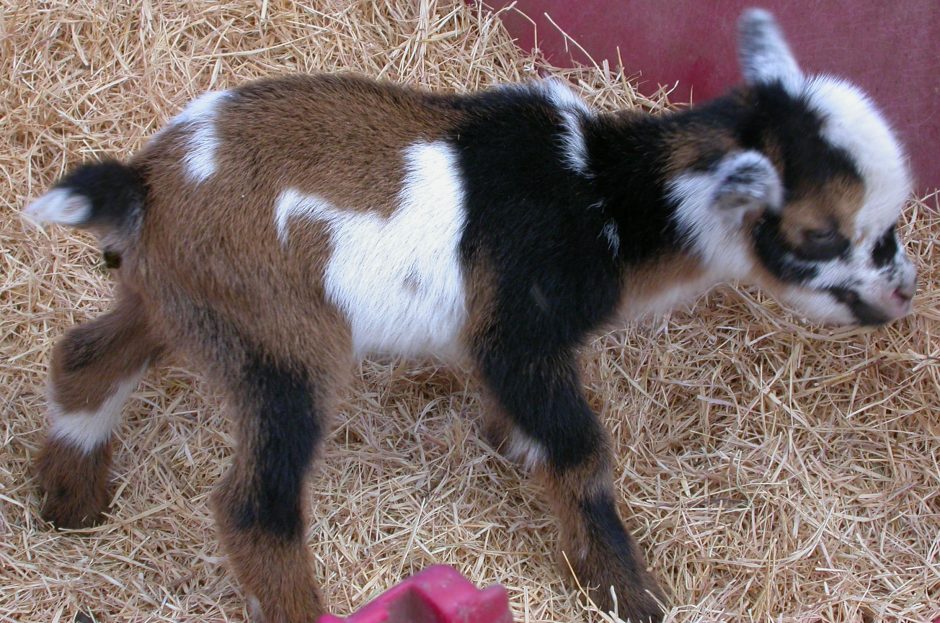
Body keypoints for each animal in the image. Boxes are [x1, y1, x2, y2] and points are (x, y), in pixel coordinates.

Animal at [24, 10, 916, 623]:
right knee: (255, 504)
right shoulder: (519, 333)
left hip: (185, 300)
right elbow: (581, 452)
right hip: (283, 339)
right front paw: (629, 593)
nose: (903, 291)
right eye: (821, 235)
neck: (603, 197)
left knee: (85, 357)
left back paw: (70, 501)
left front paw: (509, 444)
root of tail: (143, 186)